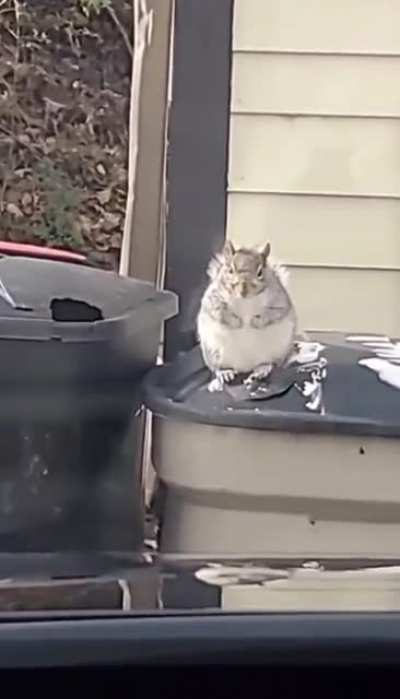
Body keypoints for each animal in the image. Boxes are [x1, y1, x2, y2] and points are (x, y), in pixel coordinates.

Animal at [197, 240, 297, 389]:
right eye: (230, 270)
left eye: (260, 272)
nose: (243, 290)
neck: (245, 301)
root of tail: (244, 367)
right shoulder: (213, 298)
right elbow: (218, 310)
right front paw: (236, 322)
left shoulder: (279, 300)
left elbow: (275, 312)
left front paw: (255, 321)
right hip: (212, 350)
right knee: (217, 367)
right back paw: (225, 372)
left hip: (279, 349)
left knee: (269, 363)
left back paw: (262, 369)